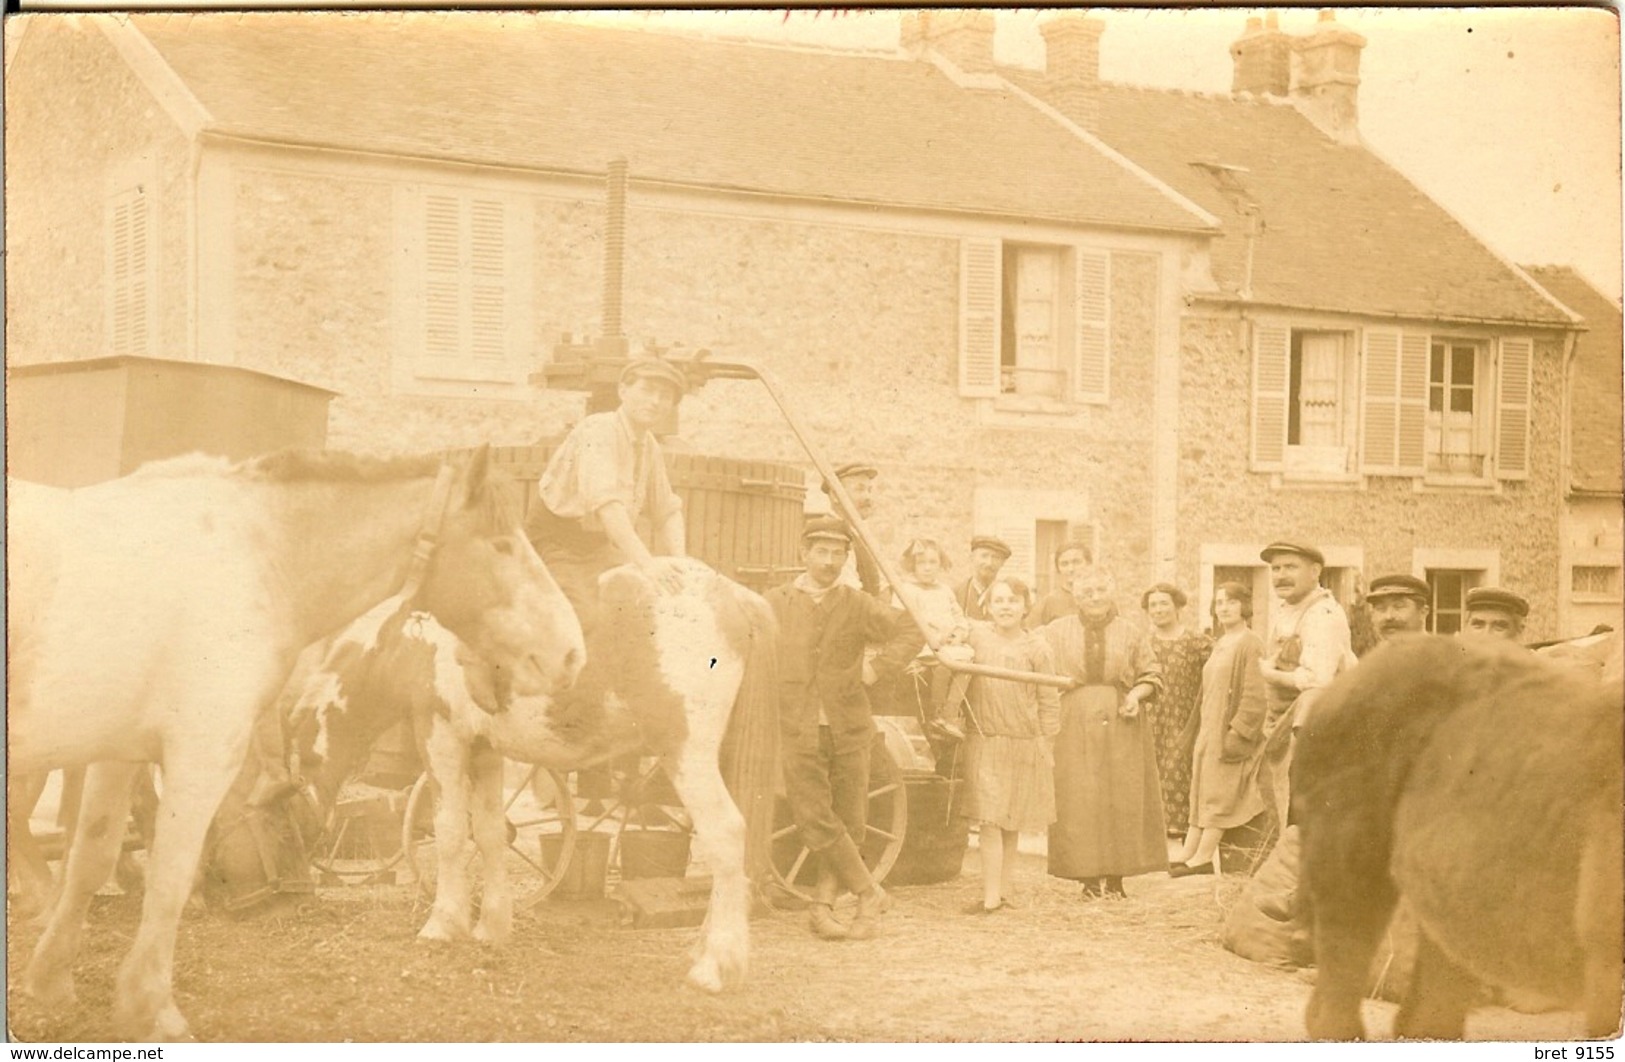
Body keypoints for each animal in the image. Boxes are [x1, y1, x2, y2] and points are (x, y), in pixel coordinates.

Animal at [9, 448, 588, 1039]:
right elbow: (169, 878)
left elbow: (92, 857)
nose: (570, 652)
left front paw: (52, 980)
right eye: (502, 544)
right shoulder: (200, 756)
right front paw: (151, 1009)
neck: (258, 560)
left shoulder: (118, 755)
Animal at [290, 561, 780, 993]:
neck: (413, 637)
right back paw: (706, 951)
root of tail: (736, 598)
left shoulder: (442, 736)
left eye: (301, 759)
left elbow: (450, 833)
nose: (308, 830)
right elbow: (489, 833)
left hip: (686, 754)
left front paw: (442, 925)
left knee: (725, 835)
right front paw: (490, 928)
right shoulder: (485, 751)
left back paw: (715, 968)